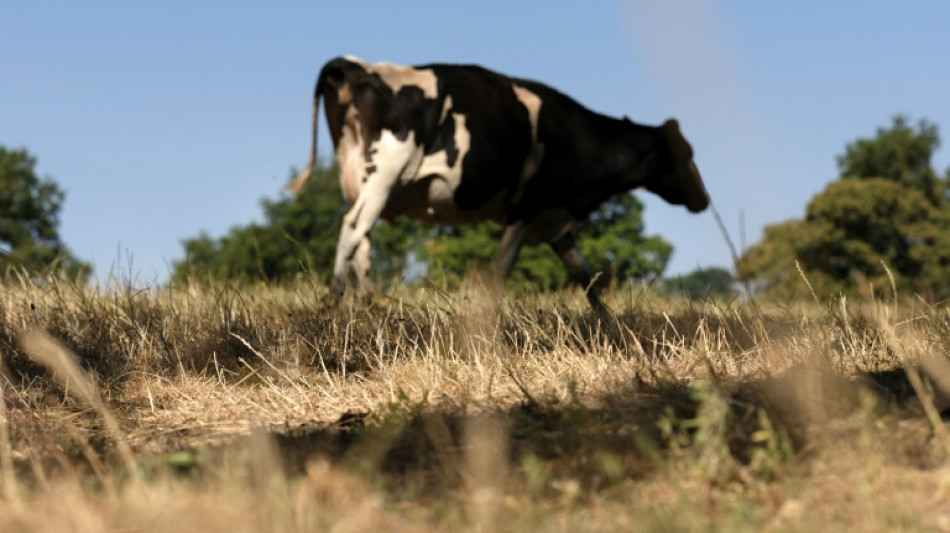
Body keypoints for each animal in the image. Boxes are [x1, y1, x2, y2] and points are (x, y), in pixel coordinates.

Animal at [289, 56, 709, 307]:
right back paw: (332, 307)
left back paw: (370, 310)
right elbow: (502, 268)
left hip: (359, 181)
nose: (704, 199)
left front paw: (617, 335)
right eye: (685, 154)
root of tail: (360, 67)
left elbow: (585, 276)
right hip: (387, 173)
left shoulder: (553, 220)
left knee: (363, 243)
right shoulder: (526, 208)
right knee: (352, 230)